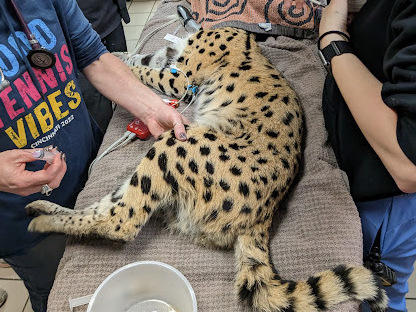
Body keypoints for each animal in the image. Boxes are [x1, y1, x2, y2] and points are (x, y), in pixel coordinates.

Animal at [26, 27, 386, 312]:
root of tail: (264, 217)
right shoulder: (174, 63)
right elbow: (146, 59)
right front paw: (122, 54)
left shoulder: (181, 79)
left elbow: (148, 72)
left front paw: (127, 61)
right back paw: (45, 207)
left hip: (179, 142)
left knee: (122, 220)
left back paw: (45, 220)